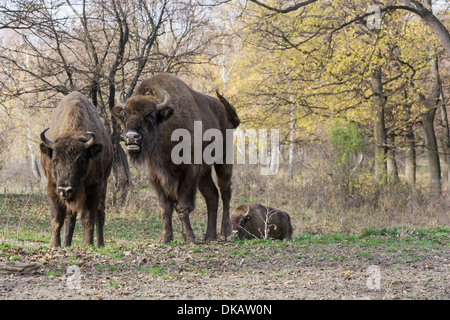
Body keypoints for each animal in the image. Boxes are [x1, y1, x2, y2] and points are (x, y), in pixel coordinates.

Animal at [39, 92, 113, 248]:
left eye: (81, 160)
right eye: (54, 160)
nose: (65, 189)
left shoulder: (94, 188)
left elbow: (88, 218)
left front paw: (87, 243)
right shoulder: (52, 187)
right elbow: (56, 218)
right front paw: (54, 244)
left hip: (104, 185)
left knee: (100, 214)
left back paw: (100, 244)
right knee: (70, 217)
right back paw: (66, 243)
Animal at [112, 73, 239, 242]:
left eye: (151, 115)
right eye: (125, 114)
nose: (132, 137)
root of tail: (225, 112)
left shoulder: (189, 172)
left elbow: (182, 206)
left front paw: (189, 238)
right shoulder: (156, 176)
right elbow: (165, 208)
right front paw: (165, 238)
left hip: (223, 161)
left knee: (225, 193)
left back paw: (226, 233)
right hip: (204, 173)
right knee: (212, 195)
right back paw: (209, 236)